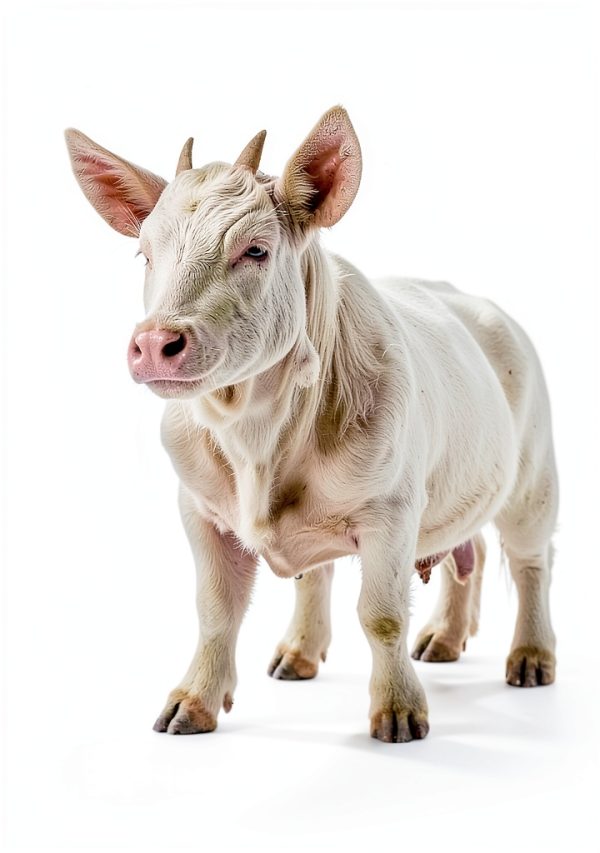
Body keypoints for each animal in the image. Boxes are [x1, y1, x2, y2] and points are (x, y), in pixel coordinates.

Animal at [65, 106, 558, 743]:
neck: (256, 439)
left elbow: (381, 615)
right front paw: (190, 704)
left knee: (529, 561)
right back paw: (407, 644)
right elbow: (215, 609)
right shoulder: (196, 504)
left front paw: (399, 715)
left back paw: (531, 659)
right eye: (145, 254)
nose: (153, 342)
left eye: (255, 250)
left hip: (534, 471)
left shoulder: (392, 508)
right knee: (450, 551)